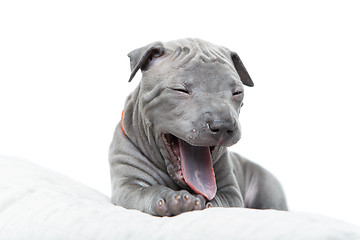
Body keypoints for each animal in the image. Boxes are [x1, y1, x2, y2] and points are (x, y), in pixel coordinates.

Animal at [108, 39, 288, 216]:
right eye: (180, 90)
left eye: (237, 92)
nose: (223, 125)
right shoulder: (127, 186)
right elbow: (146, 191)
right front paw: (169, 198)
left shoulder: (231, 191)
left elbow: (222, 200)